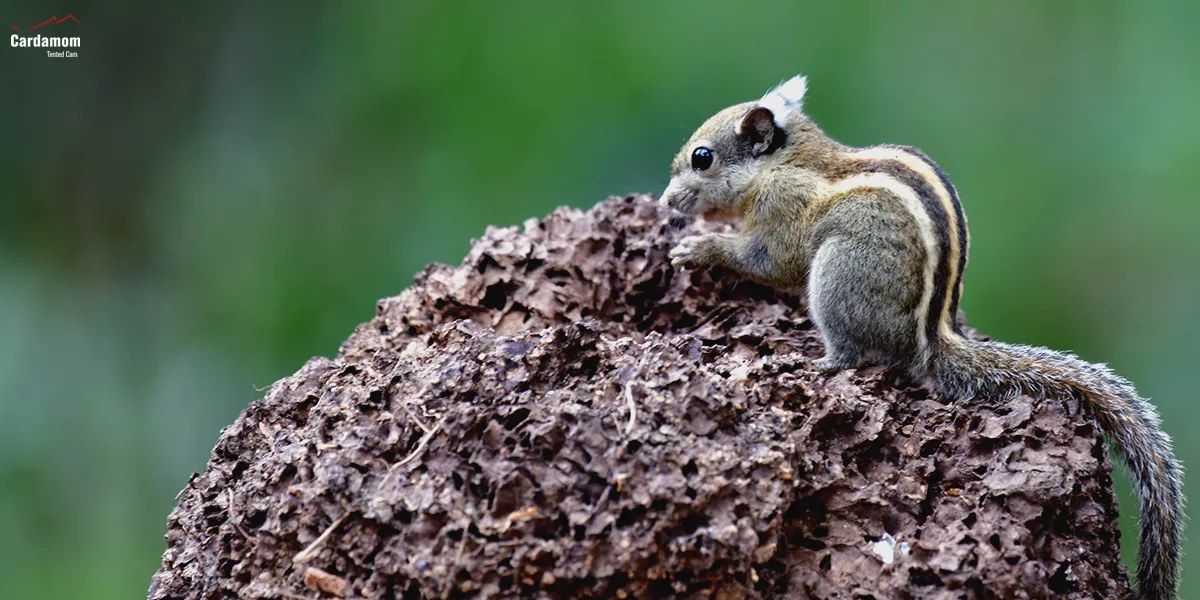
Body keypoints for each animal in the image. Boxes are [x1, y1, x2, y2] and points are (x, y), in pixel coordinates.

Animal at [660, 75, 1182, 599]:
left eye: (702, 158)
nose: (665, 202)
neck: (784, 163)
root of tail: (929, 337)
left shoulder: (781, 214)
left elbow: (770, 262)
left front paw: (699, 248)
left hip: (835, 274)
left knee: (850, 353)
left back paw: (817, 361)